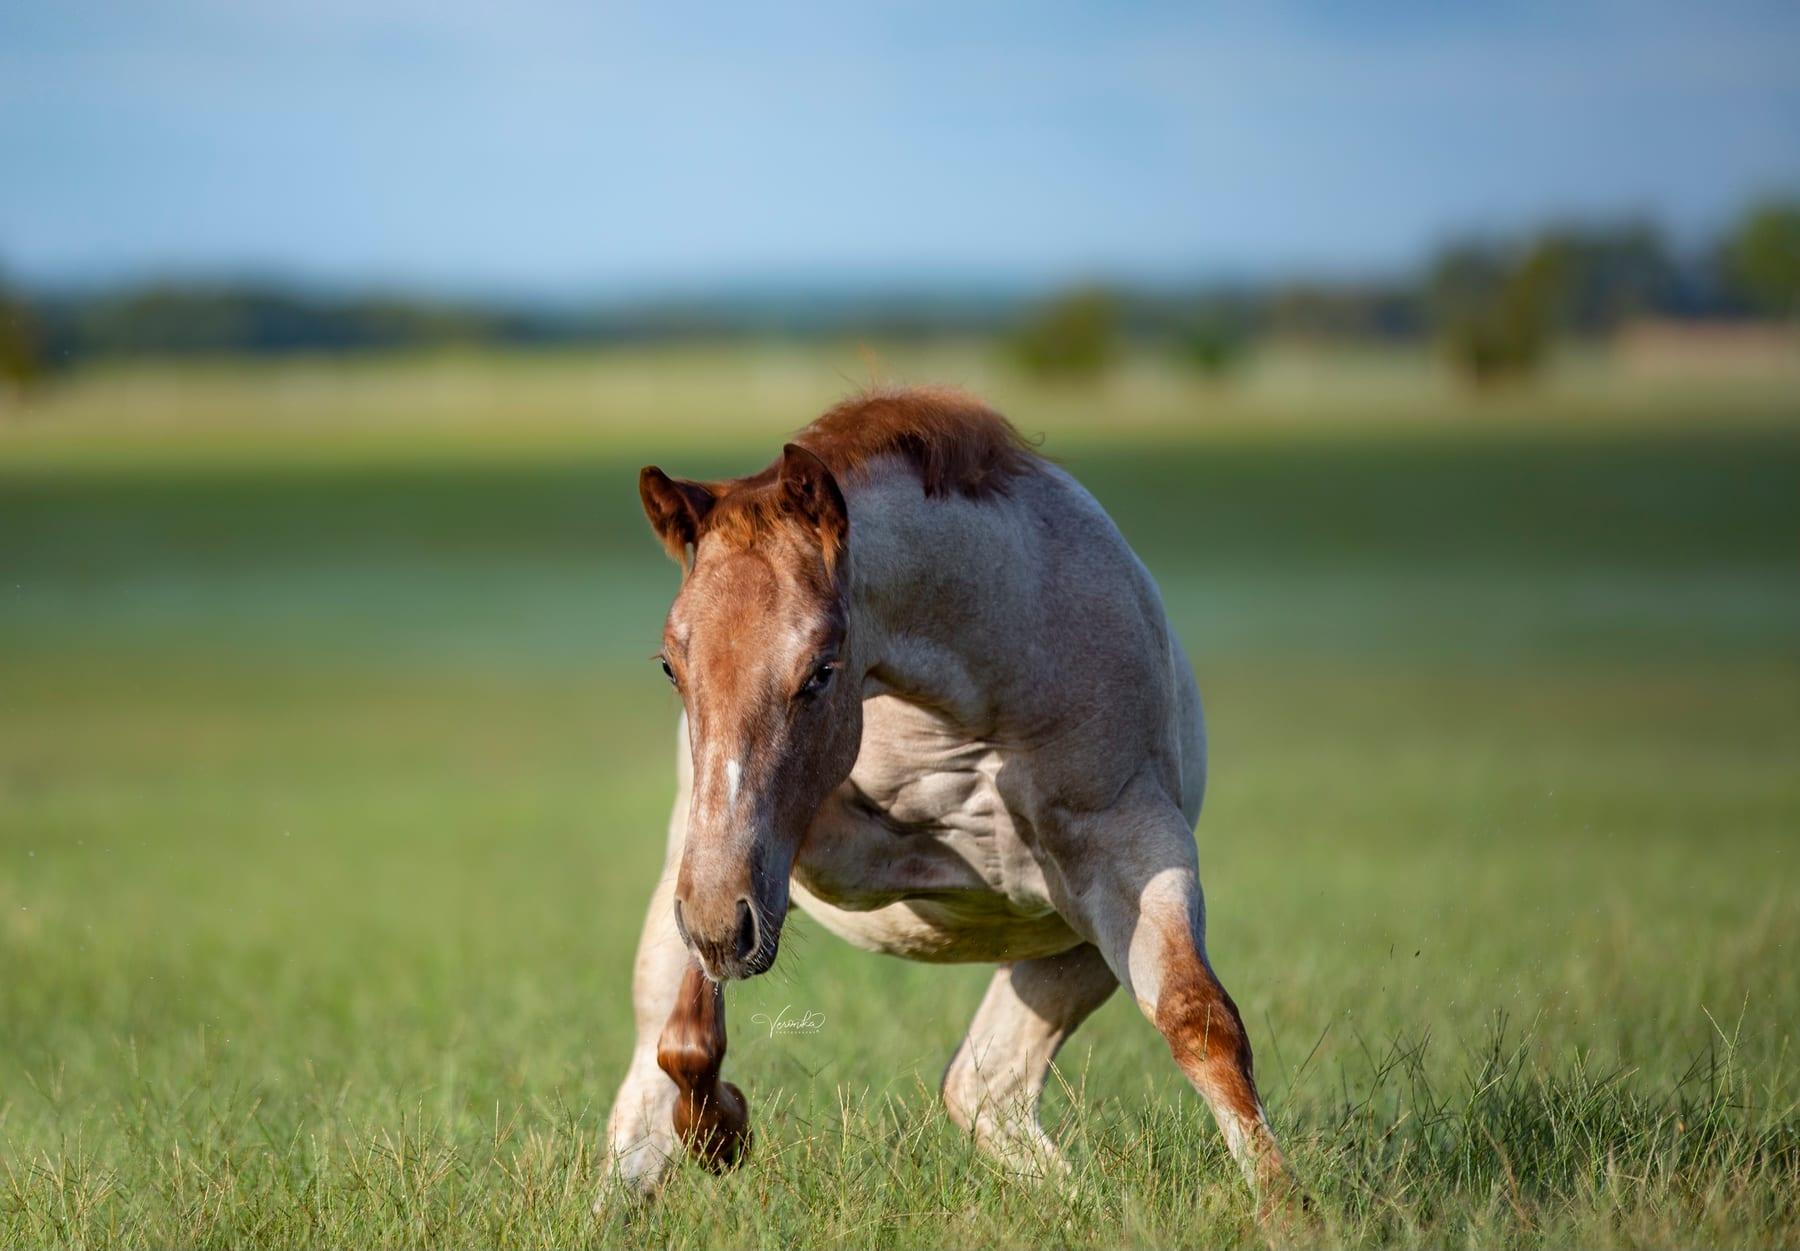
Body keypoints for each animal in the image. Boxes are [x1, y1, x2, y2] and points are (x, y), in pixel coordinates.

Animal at [602, 386, 1293, 1213]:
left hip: (1071, 952)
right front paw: (724, 1129)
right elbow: (688, 1040)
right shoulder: (748, 859)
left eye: (822, 669)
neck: (968, 706)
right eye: (671, 666)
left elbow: (1200, 1021)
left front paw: (1291, 1211)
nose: (716, 929)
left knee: (987, 1090)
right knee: (643, 1104)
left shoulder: (1134, 852)